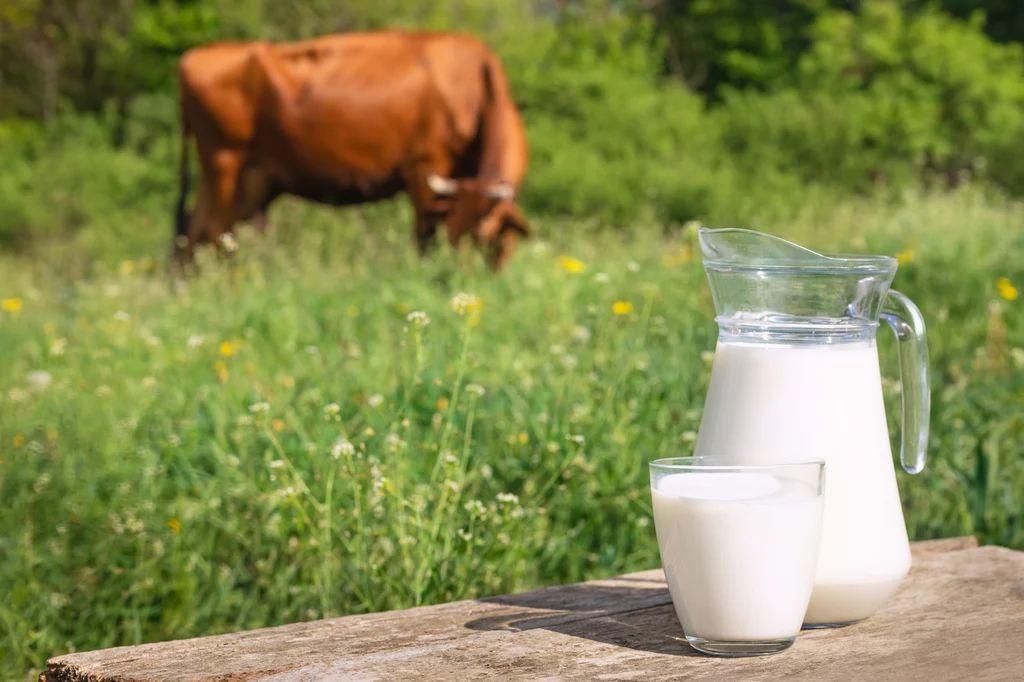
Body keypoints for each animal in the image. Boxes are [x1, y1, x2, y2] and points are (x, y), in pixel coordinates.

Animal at [172, 28, 532, 274]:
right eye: (456, 237)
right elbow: (424, 237)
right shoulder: (423, 168)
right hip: (224, 160)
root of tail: (191, 57)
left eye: (485, 235)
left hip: (248, 181)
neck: (474, 88)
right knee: (217, 232)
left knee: (194, 230)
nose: (464, 279)